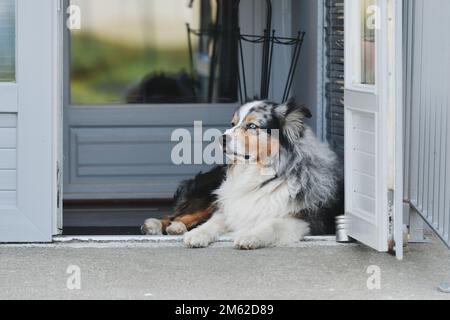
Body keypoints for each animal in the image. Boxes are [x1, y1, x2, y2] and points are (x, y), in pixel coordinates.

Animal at [142, 100, 340, 250]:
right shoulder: (231, 204)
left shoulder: (304, 220)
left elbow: (271, 224)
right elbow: (213, 222)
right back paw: (159, 225)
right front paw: (198, 234)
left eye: (252, 126)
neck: (258, 174)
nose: (220, 138)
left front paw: (250, 236)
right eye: (233, 124)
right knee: (179, 215)